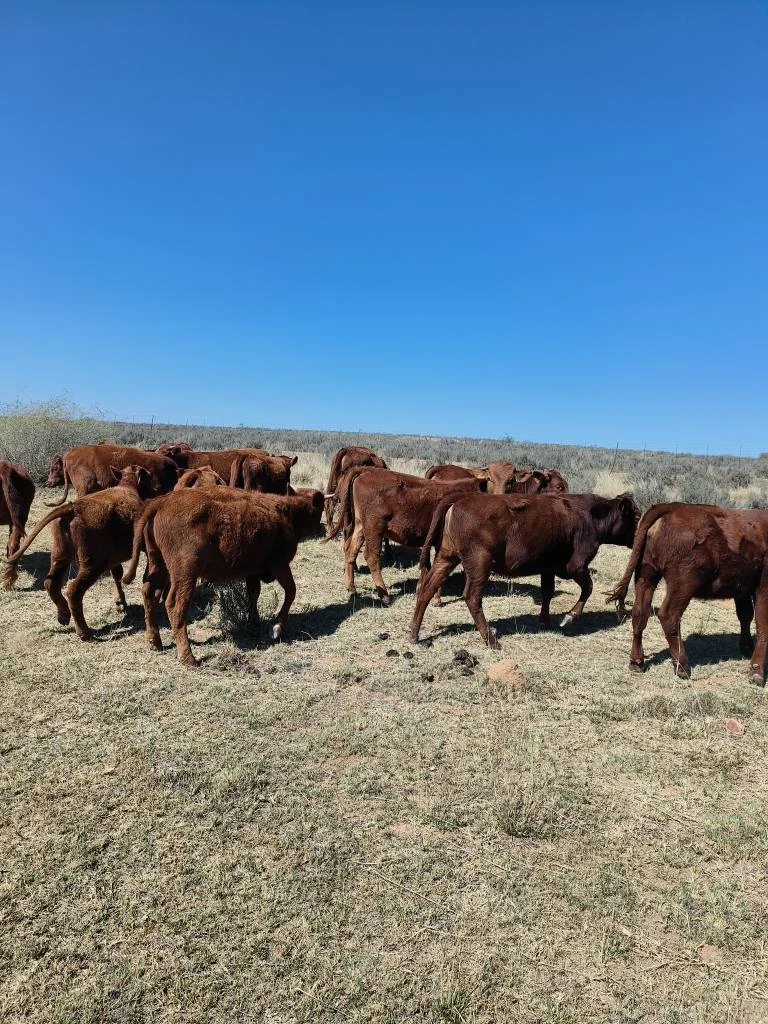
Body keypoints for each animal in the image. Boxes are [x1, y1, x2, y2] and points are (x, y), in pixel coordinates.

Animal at [1, 466, 151, 638]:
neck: (127, 487)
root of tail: (72, 508)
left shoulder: (114, 558)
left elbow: (117, 574)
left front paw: (120, 603)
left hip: (60, 556)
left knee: (50, 583)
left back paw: (63, 615)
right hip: (92, 565)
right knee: (73, 591)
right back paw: (83, 631)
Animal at [122, 488, 324, 666]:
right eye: (320, 509)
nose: (320, 530)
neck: (287, 511)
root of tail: (162, 501)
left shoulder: (252, 570)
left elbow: (254, 593)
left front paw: (254, 622)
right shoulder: (280, 565)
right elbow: (291, 591)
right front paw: (276, 628)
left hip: (158, 565)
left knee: (149, 594)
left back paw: (154, 642)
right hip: (185, 574)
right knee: (175, 605)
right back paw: (189, 658)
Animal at [324, 467, 485, 604]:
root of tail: (366, 470)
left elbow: (427, 567)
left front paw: (421, 591)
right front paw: (436, 598)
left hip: (360, 526)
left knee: (350, 551)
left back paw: (352, 589)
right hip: (374, 527)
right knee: (371, 556)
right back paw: (384, 595)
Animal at [410, 491, 639, 647]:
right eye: (635, 517)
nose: (638, 539)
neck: (590, 516)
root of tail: (460, 499)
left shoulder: (548, 566)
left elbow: (547, 592)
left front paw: (545, 622)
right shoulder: (577, 566)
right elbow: (588, 588)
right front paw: (570, 616)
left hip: (446, 556)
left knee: (427, 588)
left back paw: (414, 633)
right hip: (480, 562)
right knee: (472, 597)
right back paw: (491, 640)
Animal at [607, 503, 768, 684]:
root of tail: (672, 506)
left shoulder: (742, 588)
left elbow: (745, 616)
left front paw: (747, 647)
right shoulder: (763, 586)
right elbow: (762, 624)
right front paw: (757, 672)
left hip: (646, 575)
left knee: (640, 614)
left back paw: (637, 662)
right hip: (683, 583)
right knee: (669, 616)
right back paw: (682, 666)